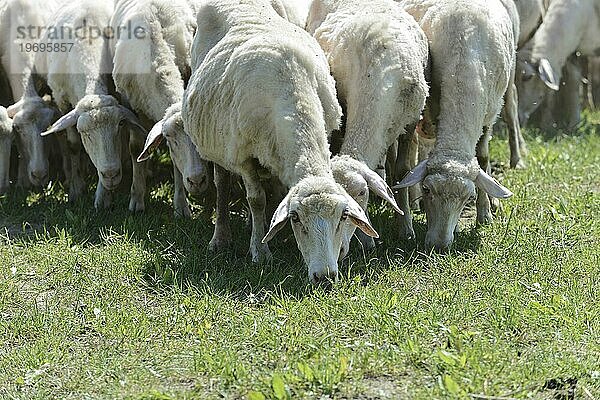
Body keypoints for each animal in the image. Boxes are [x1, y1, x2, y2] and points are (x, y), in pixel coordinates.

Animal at [37, 1, 148, 209]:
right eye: (84, 133)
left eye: (121, 124)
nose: (111, 174)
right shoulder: (61, 99)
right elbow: (73, 146)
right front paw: (76, 189)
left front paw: (103, 196)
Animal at [111, 0, 210, 217]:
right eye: (170, 140)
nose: (197, 181)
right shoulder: (133, 107)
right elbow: (136, 147)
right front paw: (137, 198)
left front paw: (181, 205)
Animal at [183, 0, 380, 282]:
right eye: (296, 218)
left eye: (343, 216)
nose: (324, 277)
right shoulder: (245, 157)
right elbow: (256, 200)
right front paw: (260, 250)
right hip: (218, 146)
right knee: (222, 186)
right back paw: (221, 238)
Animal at [308, 0, 428, 256]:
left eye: (362, 193)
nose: (343, 249)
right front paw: (367, 240)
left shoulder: (411, 120)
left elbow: (402, 171)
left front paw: (406, 228)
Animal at [394, 0, 516, 250]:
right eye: (427, 189)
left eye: (468, 198)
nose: (439, 246)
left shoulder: (489, 114)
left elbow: (483, 157)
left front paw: (484, 214)